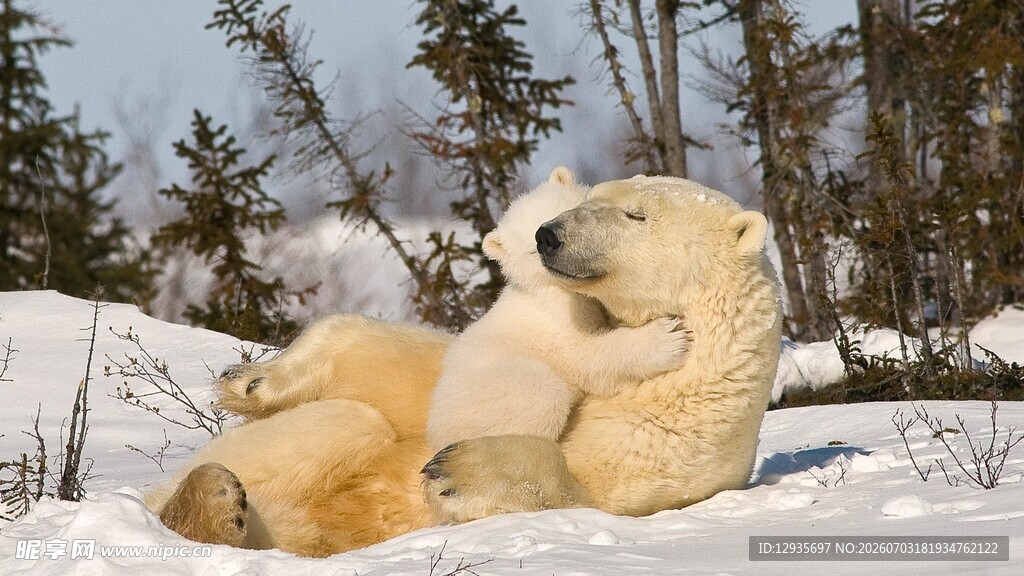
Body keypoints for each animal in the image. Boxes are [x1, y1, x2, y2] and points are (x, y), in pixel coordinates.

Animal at [427, 167, 690, 451]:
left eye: (566, 212)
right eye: (533, 249)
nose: (547, 237)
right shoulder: (556, 320)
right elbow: (586, 357)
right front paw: (668, 337)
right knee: (541, 395)